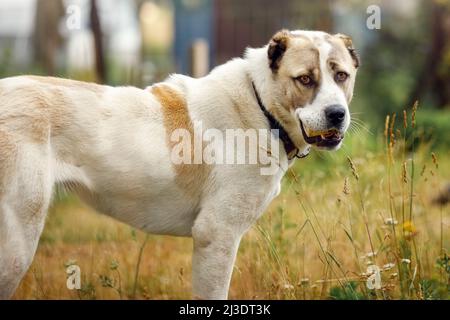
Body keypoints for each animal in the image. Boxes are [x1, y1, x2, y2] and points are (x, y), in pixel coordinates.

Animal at [0, 28, 358, 298]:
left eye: (341, 75)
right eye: (305, 79)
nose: (337, 114)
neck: (260, 104)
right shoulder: (216, 235)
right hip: (17, 243)